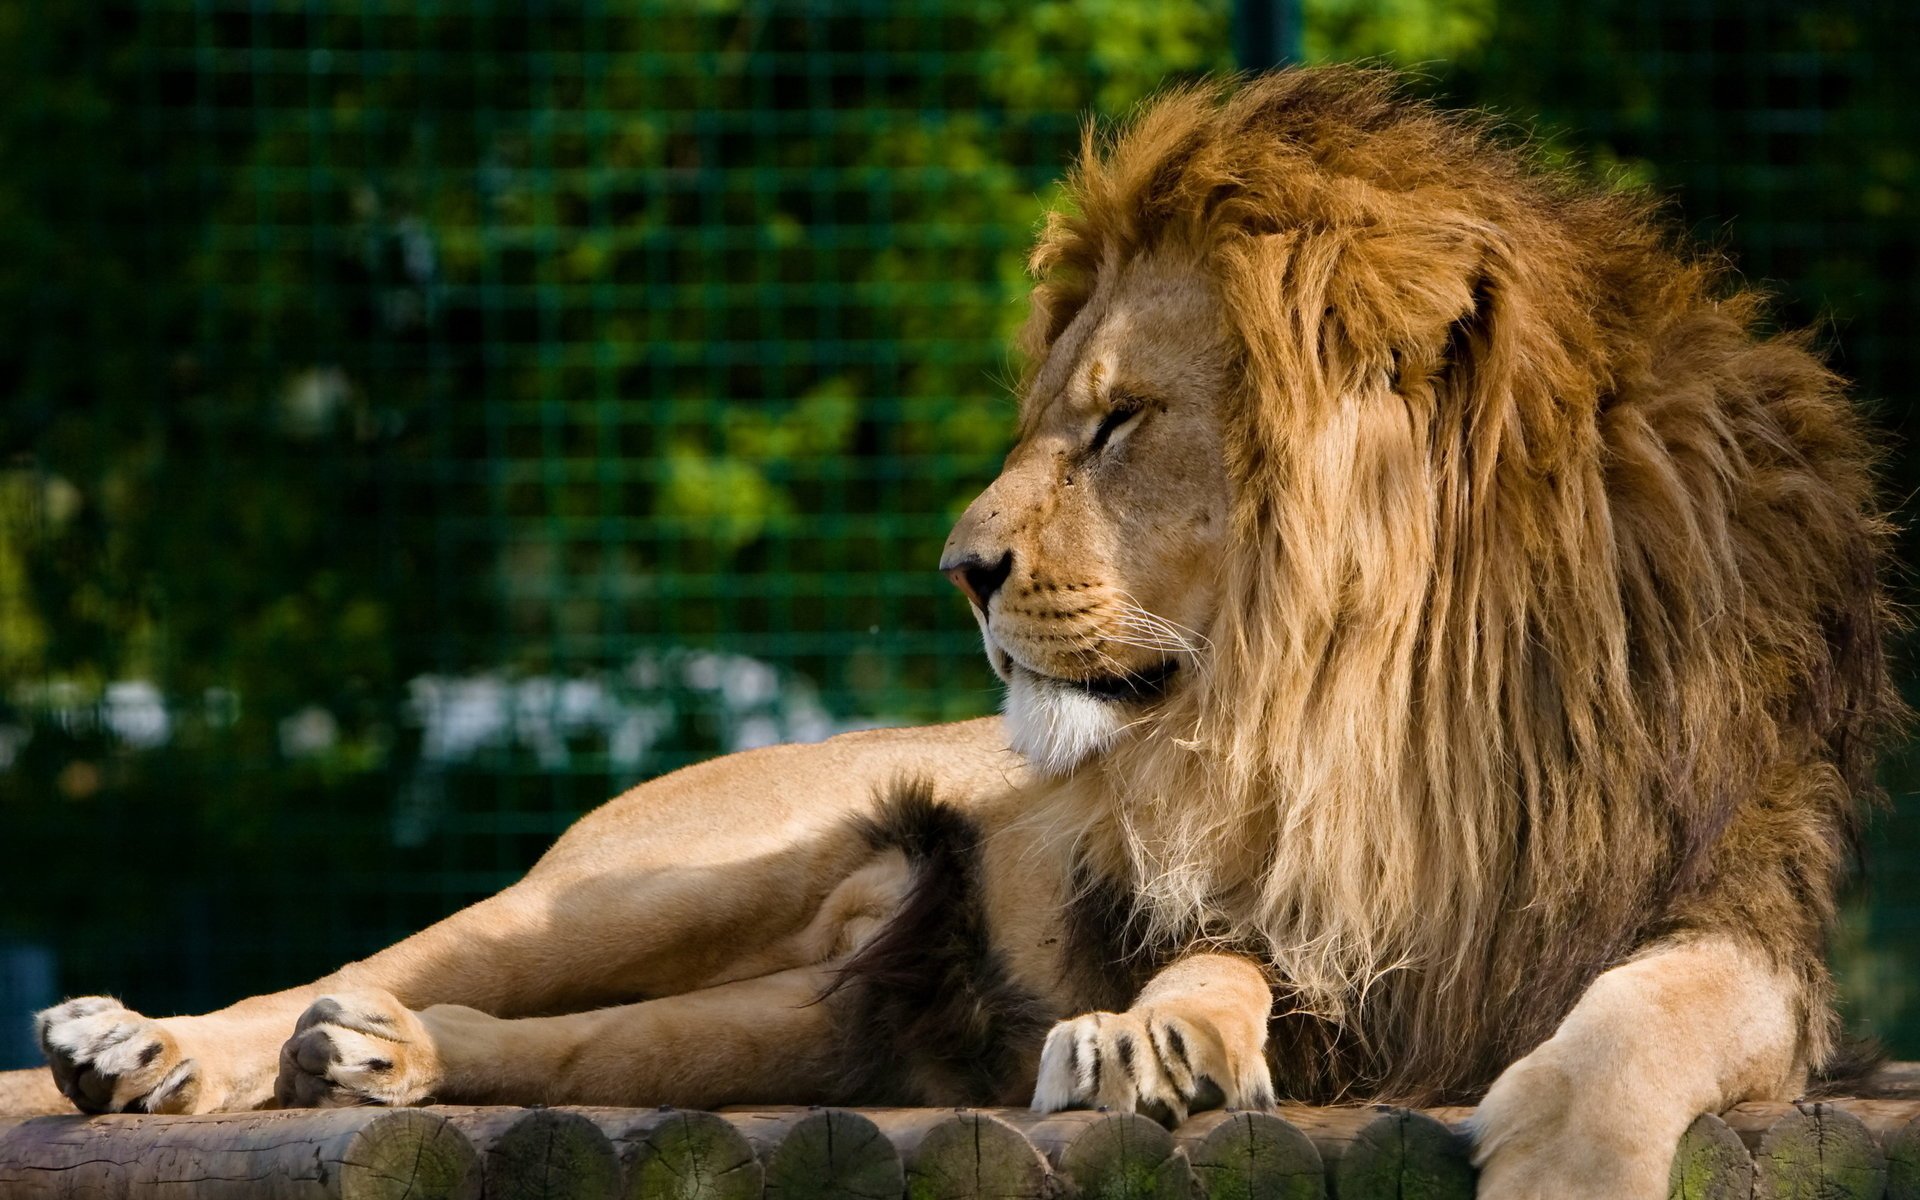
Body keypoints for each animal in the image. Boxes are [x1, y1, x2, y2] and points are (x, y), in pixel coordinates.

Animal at [30, 68, 1898, 1200]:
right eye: (1054, 416)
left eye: (1120, 423)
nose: (960, 569)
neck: (1390, 706)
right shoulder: (1280, 919)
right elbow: (1223, 956)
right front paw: (1157, 1037)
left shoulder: (1746, 920)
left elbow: (1647, 1013)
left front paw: (1571, 1148)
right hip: (647, 884)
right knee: (406, 956)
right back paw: (160, 1049)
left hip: (818, 1019)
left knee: (553, 1047)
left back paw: (379, 1065)